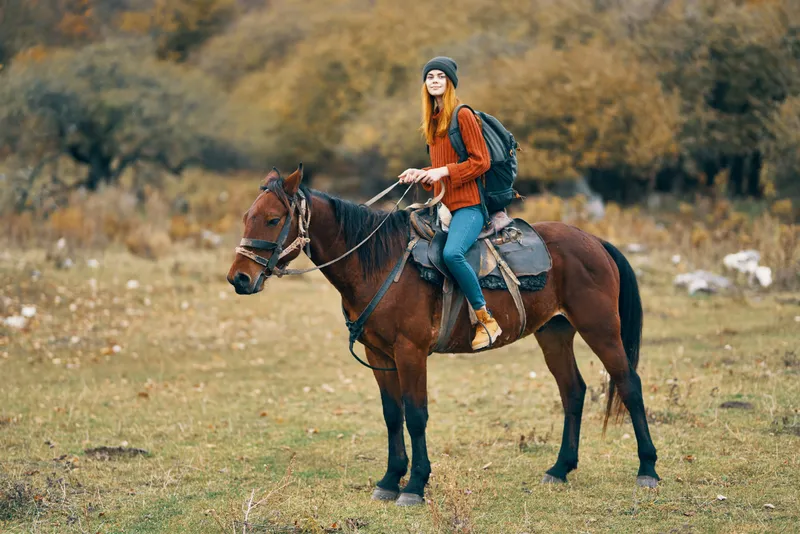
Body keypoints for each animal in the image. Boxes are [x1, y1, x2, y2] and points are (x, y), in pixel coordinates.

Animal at [227, 165, 659, 506]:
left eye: (271, 219)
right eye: (247, 216)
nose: (239, 279)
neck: (379, 263)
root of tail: (595, 241)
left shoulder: (411, 352)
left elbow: (416, 415)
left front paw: (414, 486)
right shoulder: (380, 356)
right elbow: (392, 415)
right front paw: (390, 480)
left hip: (600, 329)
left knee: (629, 384)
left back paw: (648, 469)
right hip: (554, 332)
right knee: (573, 391)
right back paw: (560, 469)